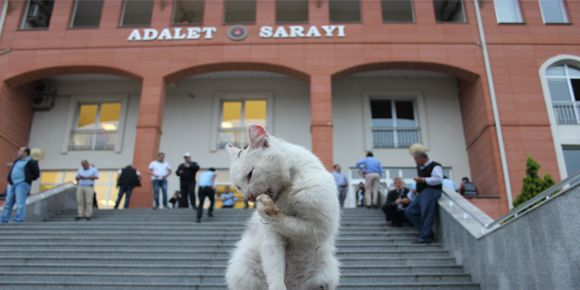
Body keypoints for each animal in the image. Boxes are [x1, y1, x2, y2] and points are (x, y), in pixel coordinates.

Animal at [223, 123, 340, 288]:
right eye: (238, 187)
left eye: (250, 174)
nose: (249, 197)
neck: (285, 191)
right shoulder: (272, 238)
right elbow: (275, 266)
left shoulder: (320, 227)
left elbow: (288, 223)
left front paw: (264, 206)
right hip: (244, 267)